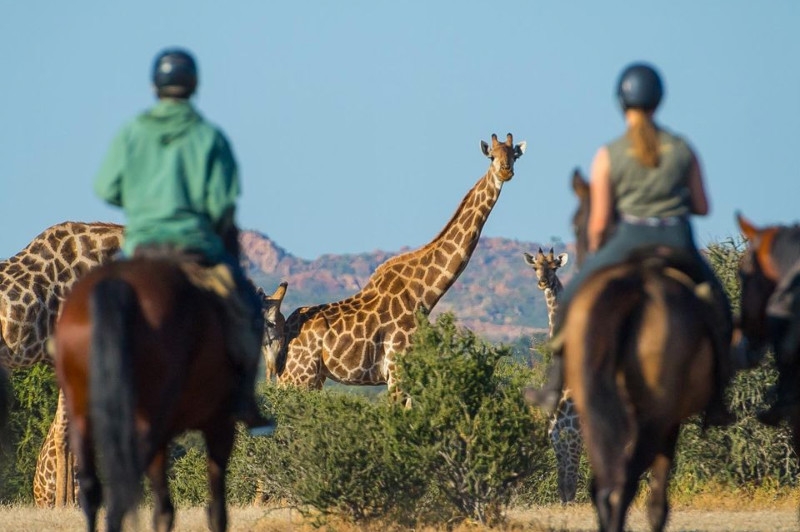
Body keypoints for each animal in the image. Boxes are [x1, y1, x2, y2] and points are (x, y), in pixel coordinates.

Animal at [52, 257, 286, 532]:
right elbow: (216, 510)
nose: (276, 366)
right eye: (271, 324)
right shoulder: (220, 424)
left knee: (92, 490)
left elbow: (164, 510)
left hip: (84, 412)